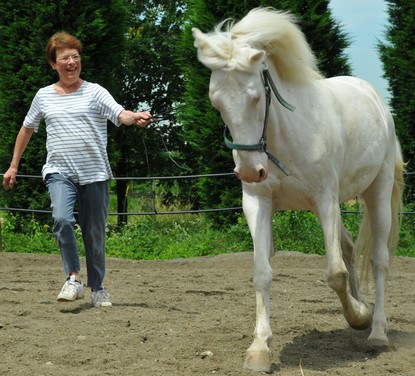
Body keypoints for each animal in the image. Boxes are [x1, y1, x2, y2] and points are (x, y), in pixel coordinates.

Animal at [193, 7, 404, 372]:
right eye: (216, 102)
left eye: (256, 97)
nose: (250, 171)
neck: (283, 136)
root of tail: (373, 96)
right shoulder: (258, 203)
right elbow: (262, 273)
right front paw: (259, 348)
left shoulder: (325, 200)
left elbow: (334, 273)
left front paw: (359, 316)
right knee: (350, 248)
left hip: (376, 192)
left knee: (379, 260)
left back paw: (376, 330)